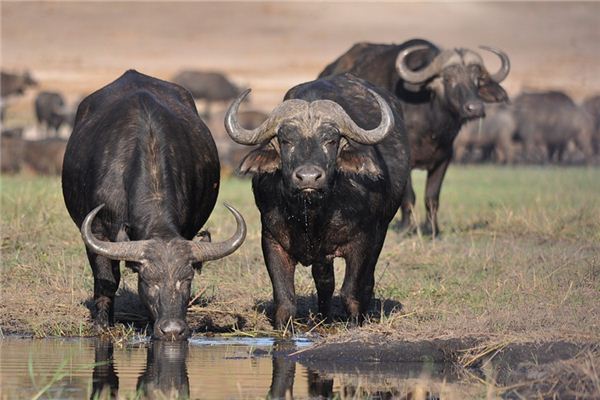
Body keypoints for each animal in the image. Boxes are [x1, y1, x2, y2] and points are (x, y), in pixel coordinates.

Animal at [61, 70, 246, 340]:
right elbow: (106, 279)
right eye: (149, 281)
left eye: (186, 280)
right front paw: (102, 324)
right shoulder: (97, 231)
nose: (173, 330)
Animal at [227, 74, 410, 328]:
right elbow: (284, 298)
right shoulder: (272, 240)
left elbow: (351, 291)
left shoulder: (363, 241)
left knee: (365, 280)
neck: (312, 214)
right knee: (325, 281)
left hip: (381, 231)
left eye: (331, 140)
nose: (308, 177)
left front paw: (355, 322)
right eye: (286, 140)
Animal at [318, 38, 510, 234]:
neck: (431, 124)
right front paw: (406, 228)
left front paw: (433, 230)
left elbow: (432, 197)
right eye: (448, 79)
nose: (475, 108)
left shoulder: (444, 158)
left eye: (477, 81)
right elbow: (408, 197)